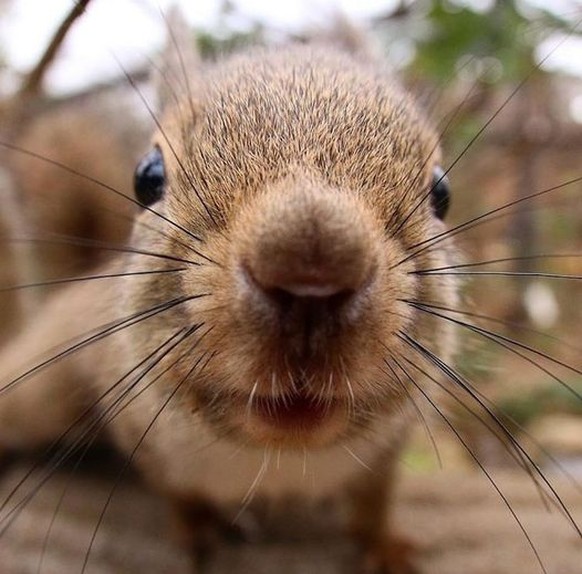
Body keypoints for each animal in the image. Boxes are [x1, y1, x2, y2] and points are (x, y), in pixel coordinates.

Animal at [0, 20, 460, 572]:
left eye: (442, 192)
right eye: (147, 177)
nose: (311, 268)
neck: (276, 458)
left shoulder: (390, 448)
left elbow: (375, 501)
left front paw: (384, 546)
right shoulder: (136, 429)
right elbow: (179, 494)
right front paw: (201, 530)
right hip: (38, 392)